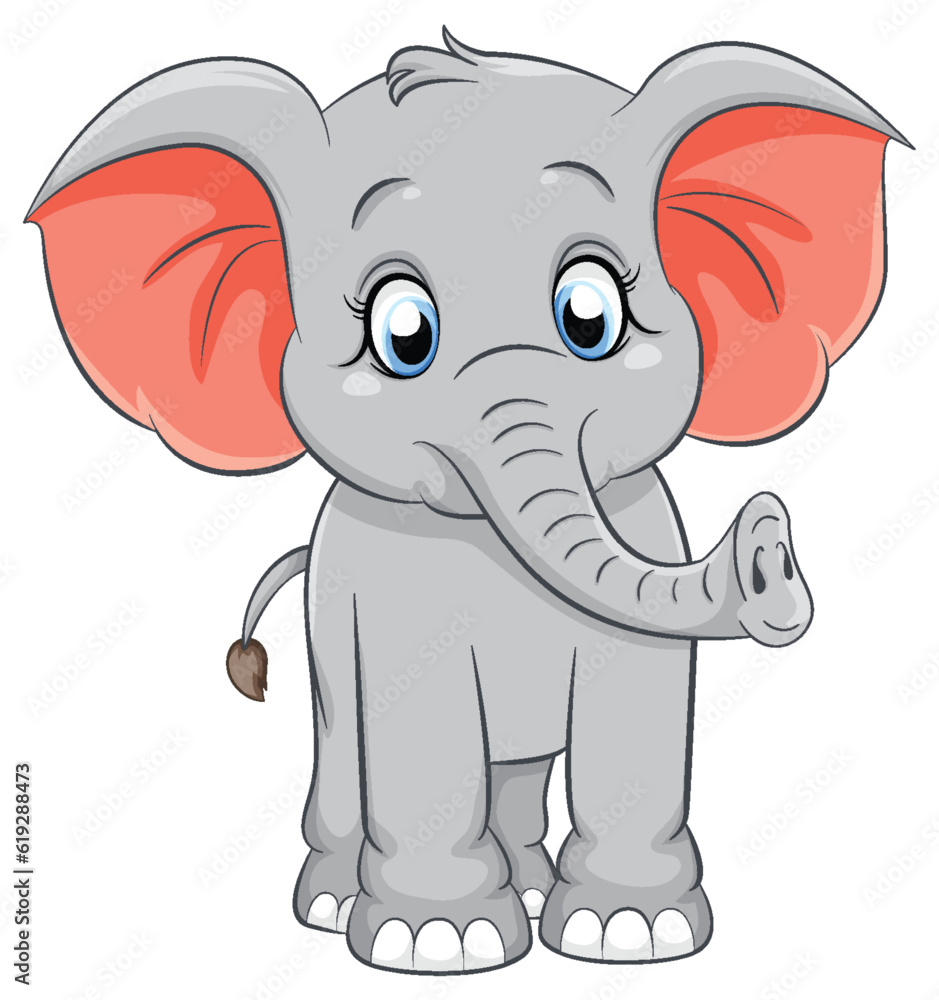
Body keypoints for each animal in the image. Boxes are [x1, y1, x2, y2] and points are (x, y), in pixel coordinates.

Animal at [27, 29, 904, 973]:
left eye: (590, 316)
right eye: (401, 335)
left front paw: (629, 934)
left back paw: (529, 887)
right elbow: (420, 723)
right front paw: (439, 944)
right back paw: (334, 904)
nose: (768, 544)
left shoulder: (645, 529)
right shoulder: (391, 595)